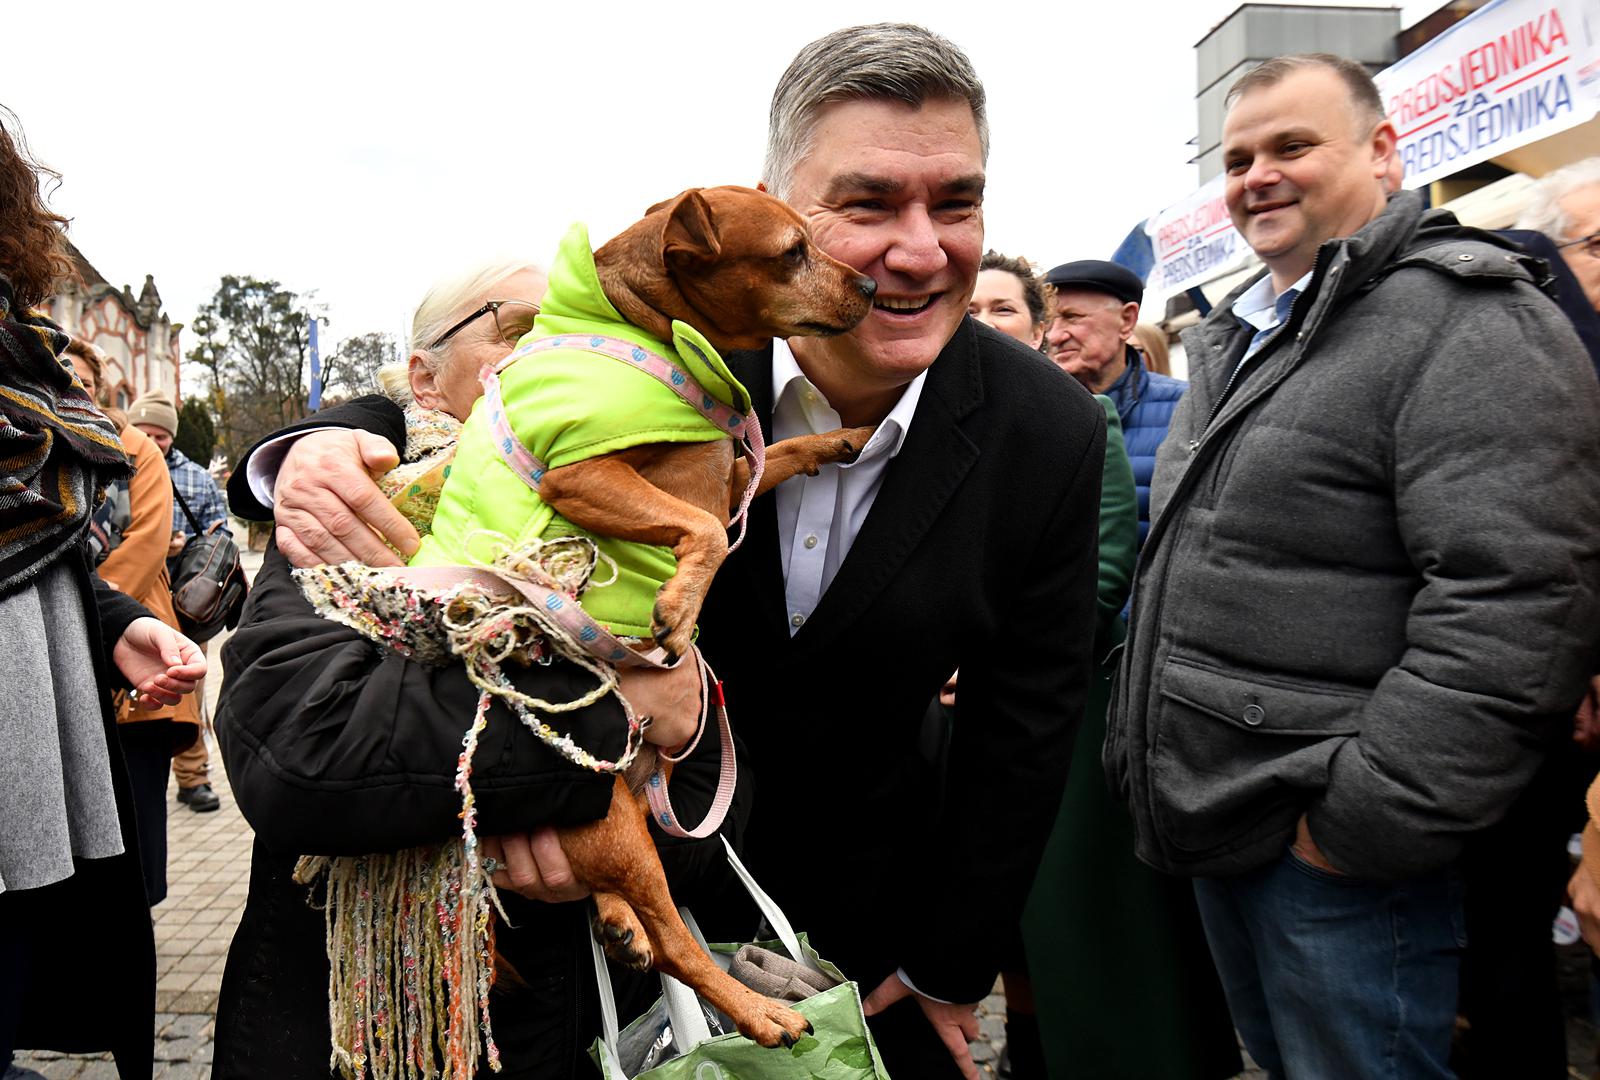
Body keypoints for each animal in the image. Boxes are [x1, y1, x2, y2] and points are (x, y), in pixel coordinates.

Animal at [518, 190, 870, 1049]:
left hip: (632, 814)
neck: (648, 329)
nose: (875, 288)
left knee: (617, 900)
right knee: (680, 943)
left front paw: (842, 435)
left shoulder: (737, 467)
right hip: (619, 826)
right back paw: (760, 1014)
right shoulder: (581, 474)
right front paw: (679, 606)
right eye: (792, 252)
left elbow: (782, 454)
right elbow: (704, 527)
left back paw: (620, 924)